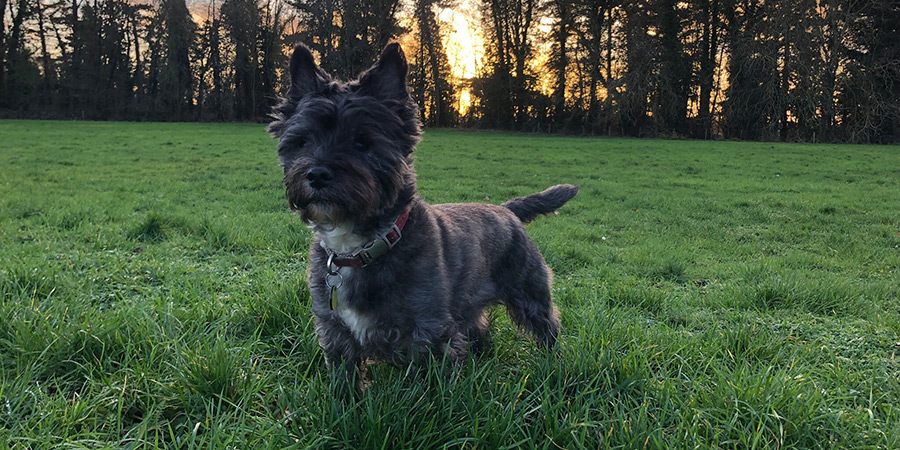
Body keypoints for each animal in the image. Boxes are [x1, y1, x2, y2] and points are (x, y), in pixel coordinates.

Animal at [268, 42, 576, 394]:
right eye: (302, 141)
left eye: (363, 142)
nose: (317, 174)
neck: (361, 247)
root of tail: (506, 209)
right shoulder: (334, 329)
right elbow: (344, 378)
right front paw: (343, 403)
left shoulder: (431, 331)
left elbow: (433, 391)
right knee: (480, 325)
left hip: (529, 292)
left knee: (546, 326)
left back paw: (553, 363)